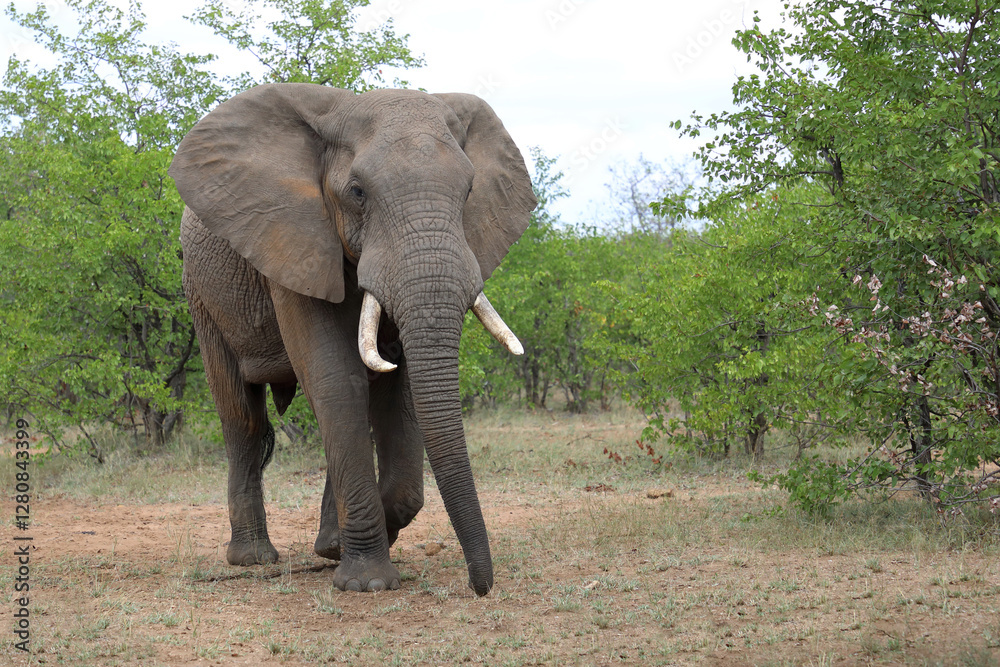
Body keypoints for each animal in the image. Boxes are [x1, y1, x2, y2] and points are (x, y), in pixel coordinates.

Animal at [169, 83, 536, 595]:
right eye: (357, 193)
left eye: (467, 192)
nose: (480, 587)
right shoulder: (293, 239)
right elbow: (338, 379)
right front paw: (366, 582)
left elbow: (395, 387)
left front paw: (340, 547)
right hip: (201, 294)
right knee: (242, 416)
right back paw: (253, 558)